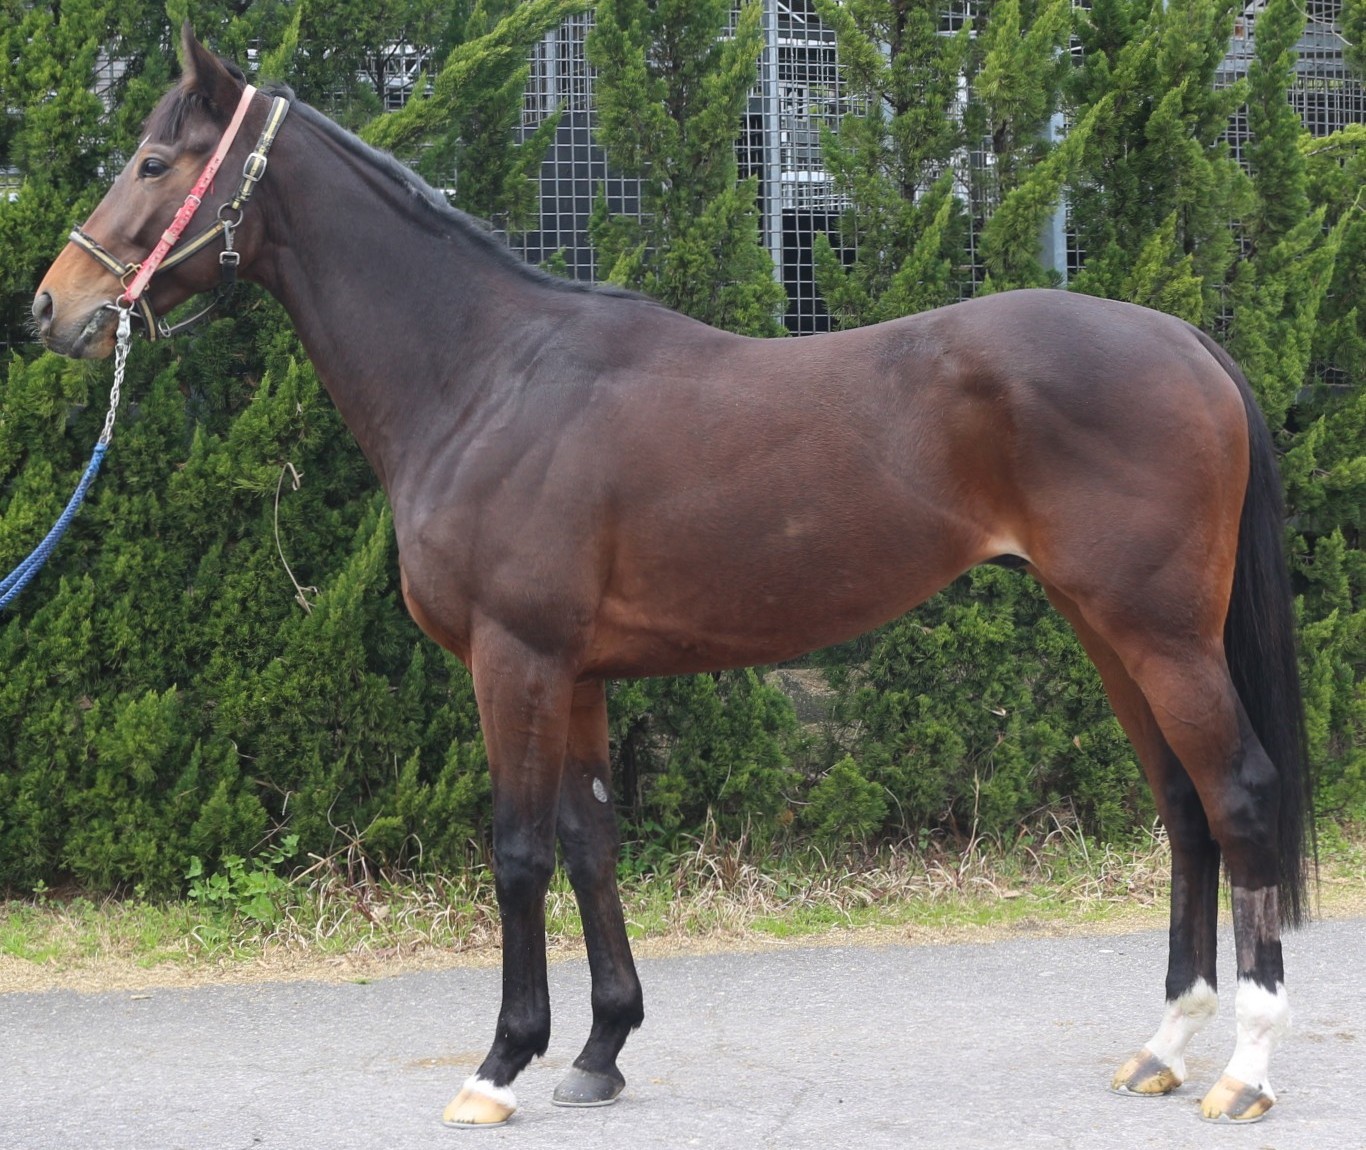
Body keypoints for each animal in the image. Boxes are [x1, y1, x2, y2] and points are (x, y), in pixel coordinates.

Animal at [34, 26, 1311, 1128]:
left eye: (153, 160)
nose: (53, 305)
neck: (485, 375)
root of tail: (1184, 338)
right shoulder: (580, 673)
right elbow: (591, 843)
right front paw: (600, 1050)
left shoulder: (515, 660)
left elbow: (517, 851)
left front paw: (500, 1064)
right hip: (1105, 628)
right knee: (1183, 807)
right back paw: (1161, 1046)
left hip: (1160, 634)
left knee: (1240, 796)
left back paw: (1242, 1069)